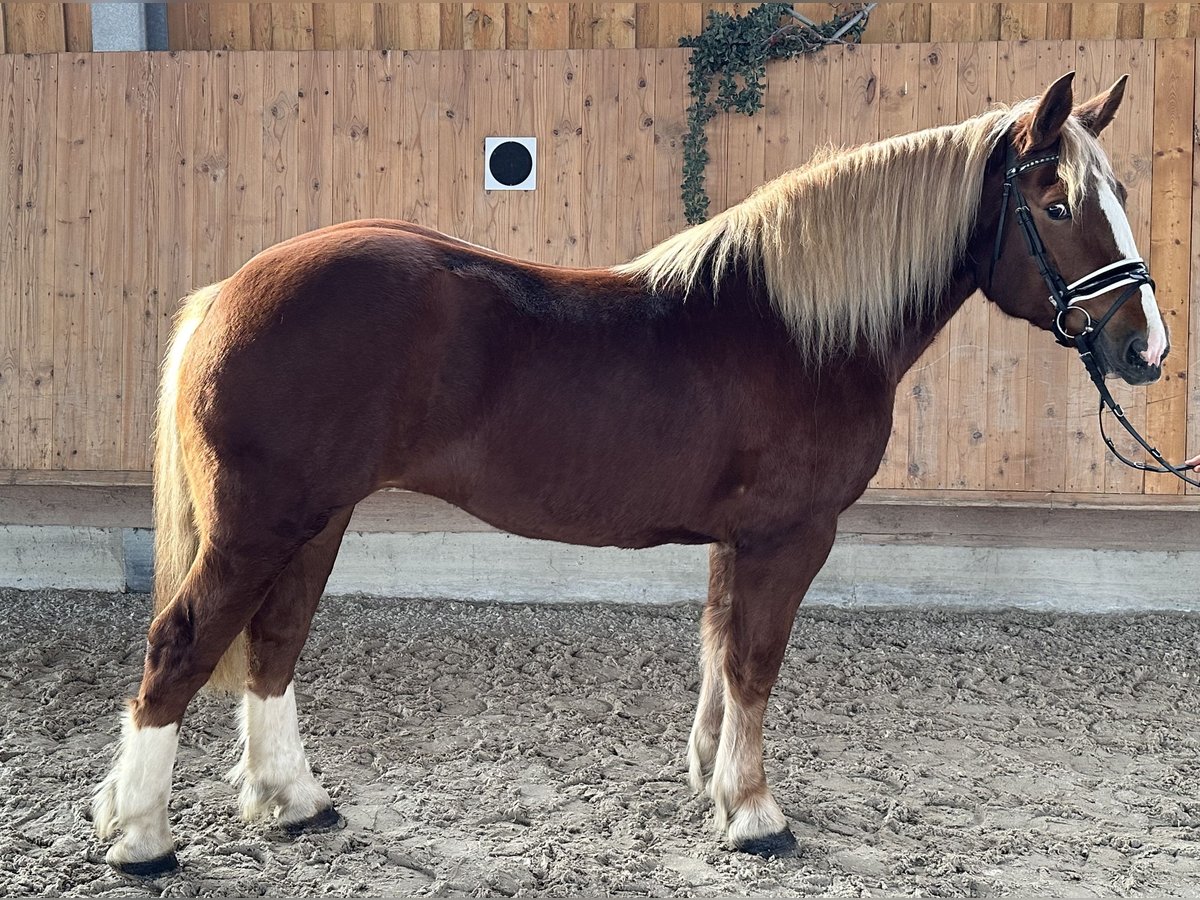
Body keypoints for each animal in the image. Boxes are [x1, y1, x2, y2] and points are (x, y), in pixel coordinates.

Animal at [96, 74, 1171, 878]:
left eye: (1119, 198)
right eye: (1058, 206)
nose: (1145, 348)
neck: (799, 328)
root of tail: (231, 290)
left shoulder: (741, 541)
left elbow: (720, 653)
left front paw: (713, 781)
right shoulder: (791, 537)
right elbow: (755, 662)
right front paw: (756, 815)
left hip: (316, 521)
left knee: (273, 645)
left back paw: (293, 803)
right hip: (261, 524)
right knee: (181, 646)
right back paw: (143, 837)